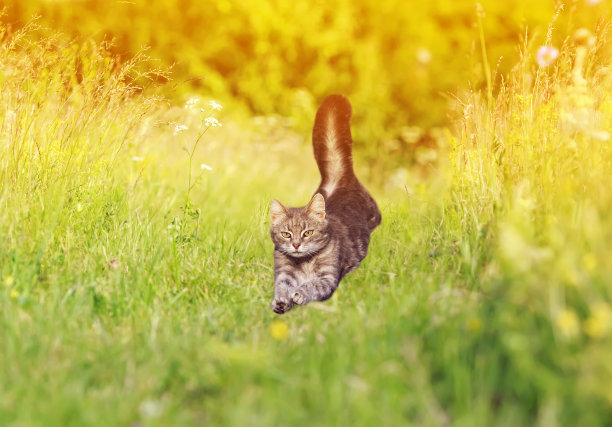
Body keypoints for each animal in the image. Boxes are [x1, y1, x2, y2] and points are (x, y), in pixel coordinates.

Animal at [268, 94, 380, 314]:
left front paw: (299, 293)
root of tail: (336, 177)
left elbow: (312, 284)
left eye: (308, 232)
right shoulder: (283, 275)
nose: (296, 244)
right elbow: (282, 287)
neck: (303, 262)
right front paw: (281, 302)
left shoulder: (328, 278)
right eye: (286, 234)